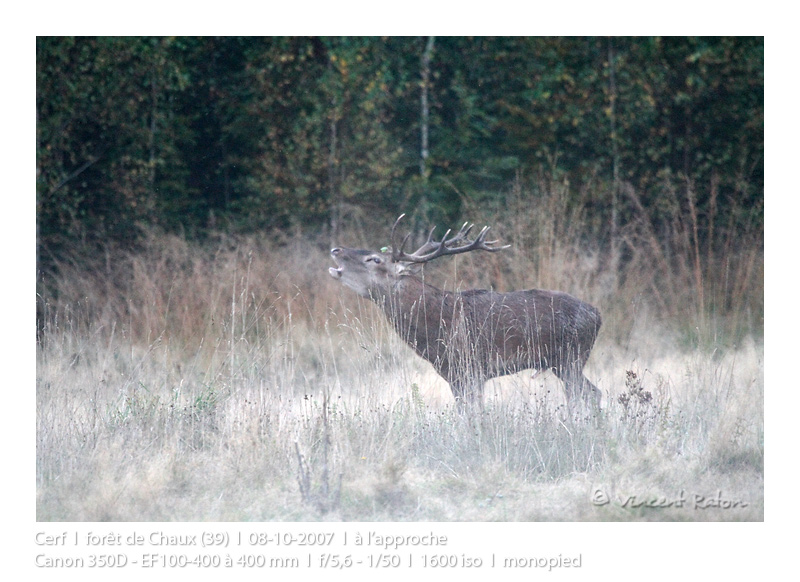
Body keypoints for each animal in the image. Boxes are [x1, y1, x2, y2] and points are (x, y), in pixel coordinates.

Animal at [328, 214, 602, 410]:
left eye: (374, 259)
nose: (336, 249)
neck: (435, 330)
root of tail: (597, 315)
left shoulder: (471, 367)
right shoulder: (454, 374)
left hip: (571, 356)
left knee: (588, 394)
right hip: (562, 362)